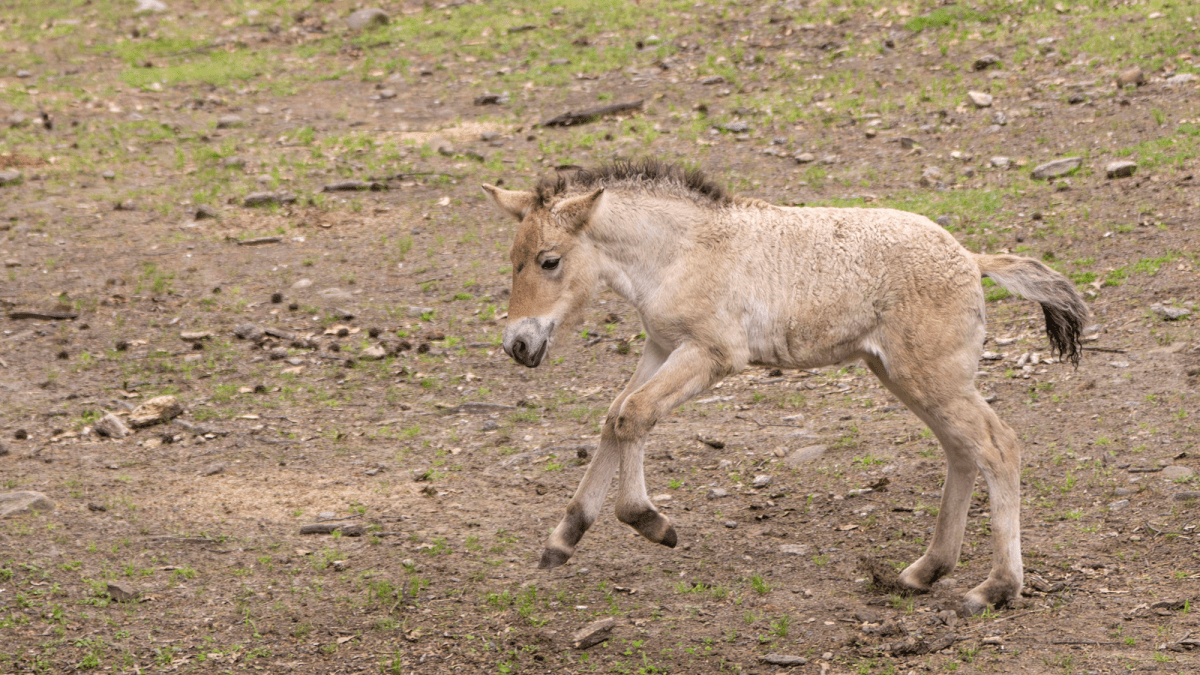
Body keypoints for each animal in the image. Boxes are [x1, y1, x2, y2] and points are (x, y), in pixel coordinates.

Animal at [482, 159, 1088, 615]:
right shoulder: (660, 346)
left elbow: (634, 414)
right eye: (511, 261)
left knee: (998, 446)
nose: (518, 344)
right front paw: (562, 539)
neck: (682, 250)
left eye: (549, 261)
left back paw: (995, 588)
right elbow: (616, 415)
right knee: (962, 452)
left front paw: (652, 523)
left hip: (931, 377)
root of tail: (971, 258)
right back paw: (923, 571)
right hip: (903, 375)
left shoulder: (711, 354)